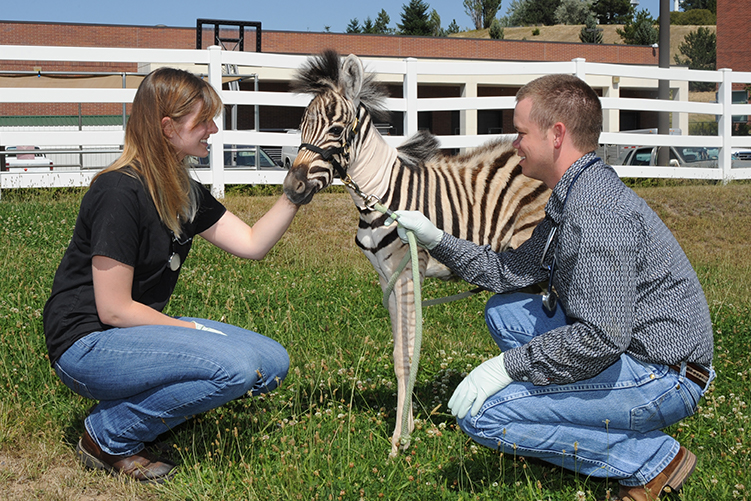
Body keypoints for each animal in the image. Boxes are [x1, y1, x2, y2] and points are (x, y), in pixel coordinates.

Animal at [283, 50, 550, 457]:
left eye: (337, 130)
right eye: (301, 126)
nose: (292, 188)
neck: (381, 193)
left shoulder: (409, 273)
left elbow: (408, 353)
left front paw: (399, 441)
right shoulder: (387, 279)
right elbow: (399, 354)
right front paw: (406, 428)